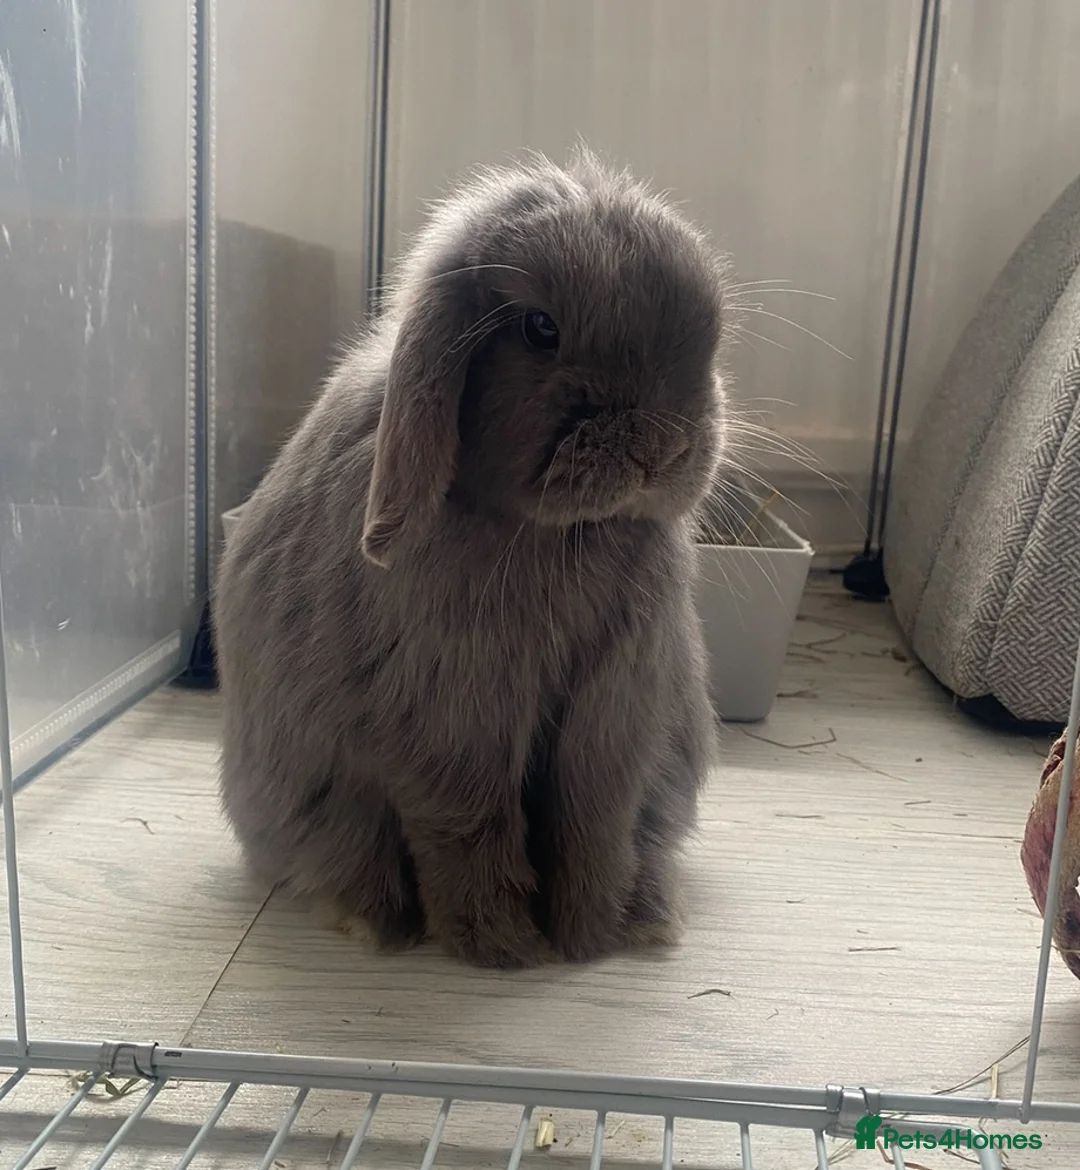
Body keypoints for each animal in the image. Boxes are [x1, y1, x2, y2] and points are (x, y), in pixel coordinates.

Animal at [213, 145, 730, 969]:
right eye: (540, 328)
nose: (662, 445)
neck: (554, 532)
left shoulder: (615, 706)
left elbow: (596, 819)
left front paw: (592, 936)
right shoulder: (455, 716)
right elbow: (469, 825)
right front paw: (500, 946)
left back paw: (651, 917)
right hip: (321, 803)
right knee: (342, 855)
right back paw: (374, 922)